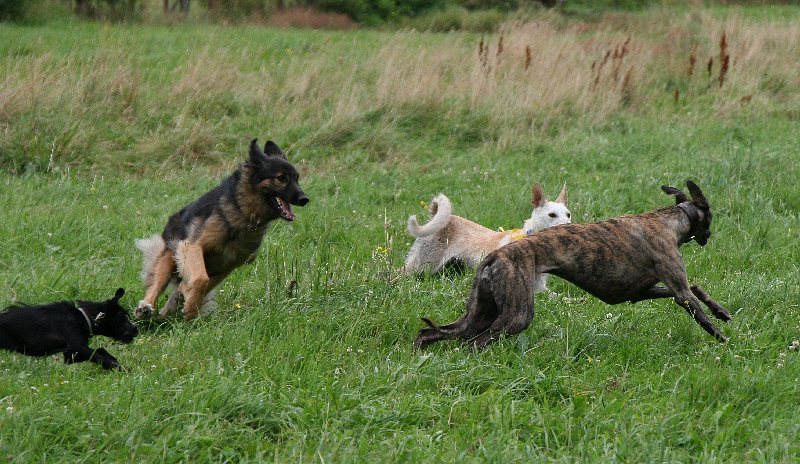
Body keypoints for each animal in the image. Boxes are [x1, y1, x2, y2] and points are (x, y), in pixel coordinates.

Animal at [0, 288, 138, 370]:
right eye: (124, 317)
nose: (136, 330)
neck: (83, 317)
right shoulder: (77, 346)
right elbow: (99, 355)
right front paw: (123, 368)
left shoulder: (70, 354)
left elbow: (100, 351)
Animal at [134, 138, 309, 321]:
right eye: (281, 178)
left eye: (297, 178)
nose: (305, 199)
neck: (243, 214)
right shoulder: (193, 246)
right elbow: (200, 278)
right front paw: (190, 306)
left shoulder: (226, 267)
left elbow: (201, 284)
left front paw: (190, 306)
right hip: (170, 257)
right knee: (155, 287)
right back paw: (144, 309)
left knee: (171, 302)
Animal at [403, 183, 570, 293]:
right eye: (552, 215)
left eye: (568, 214)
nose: (569, 225)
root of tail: (440, 216)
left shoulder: (540, 288)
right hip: (423, 266)